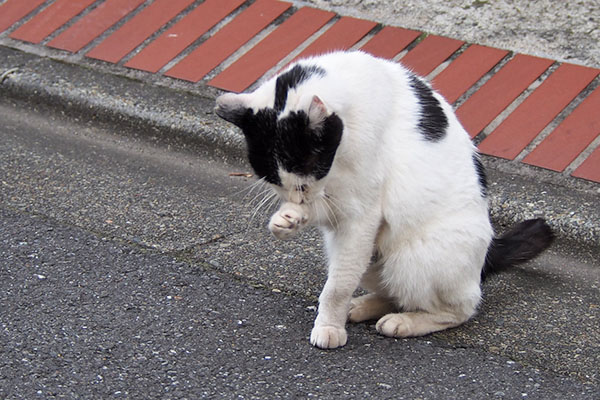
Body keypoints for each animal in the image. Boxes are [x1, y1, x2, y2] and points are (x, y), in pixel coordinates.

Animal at [214, 50, 552, 350]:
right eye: (276, 181)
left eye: (308, 172)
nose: (300, 197)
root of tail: (486, 257)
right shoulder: (339, 207)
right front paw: (286, 219)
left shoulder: (360, 212)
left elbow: (337, 287)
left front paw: (329, 326)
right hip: (369, 256)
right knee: (394, 293)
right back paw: (362, 307)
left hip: (415, 258)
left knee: (460, 308)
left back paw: (403, 321)